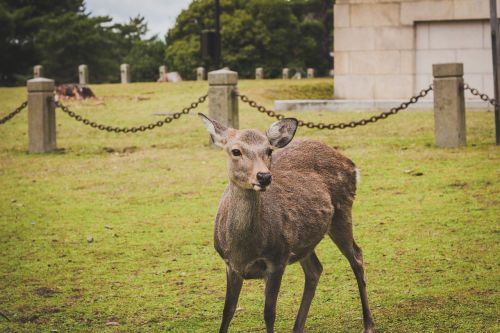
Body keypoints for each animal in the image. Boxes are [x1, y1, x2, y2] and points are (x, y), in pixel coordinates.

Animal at [197, 113, 374, 332]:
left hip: (342, 211)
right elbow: (228, 311)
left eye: (269, 150)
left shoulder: (277, 259)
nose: (264, 176)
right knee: (315, 269)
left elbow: (269, 313)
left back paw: (368, 324)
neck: (244, 250)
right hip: (303, 241)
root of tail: (352, 165)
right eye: (235, 151)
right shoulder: (230, 264)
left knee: (356, 256)